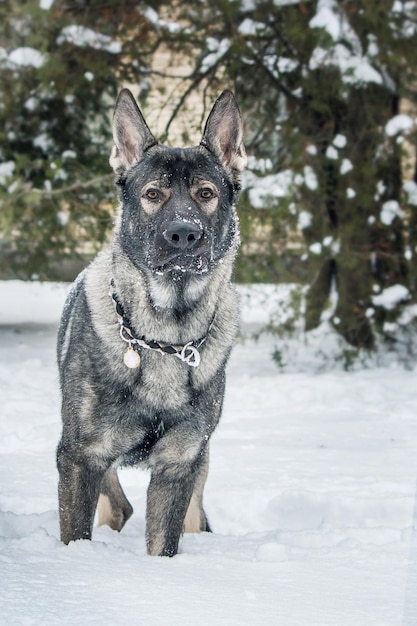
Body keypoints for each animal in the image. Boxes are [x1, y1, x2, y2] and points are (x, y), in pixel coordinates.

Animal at [54, 85, 244, 552]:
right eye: (154, 195)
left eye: (206, 194)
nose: (183, 234)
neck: (165, 336)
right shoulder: (80, 456)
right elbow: (74, 536)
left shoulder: (179, 464)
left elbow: (164, 545)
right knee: (118, 506)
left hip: (198, 467)